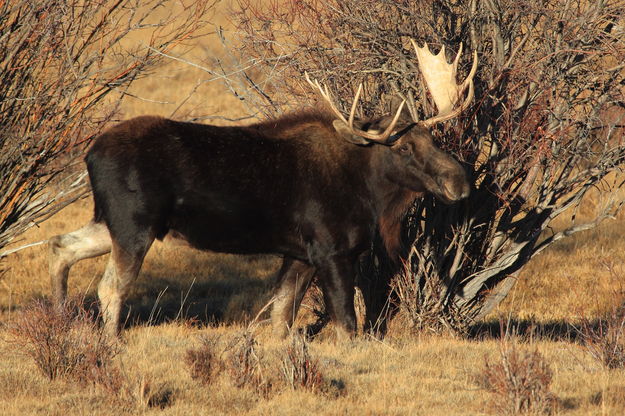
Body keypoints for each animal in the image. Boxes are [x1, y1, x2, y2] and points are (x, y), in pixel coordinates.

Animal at [48, 40, 476, 336]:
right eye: (403, 148)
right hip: (134, 226)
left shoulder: (300, 254)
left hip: (112, 222)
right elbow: (347, 325)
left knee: (61, 245)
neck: (370, 196)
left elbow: (281, 317)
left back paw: (60, 316)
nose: (460, 182)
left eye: (434, 140)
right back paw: (109, 340)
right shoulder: (331, 250)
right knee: (109, 286)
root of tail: (89, 156)